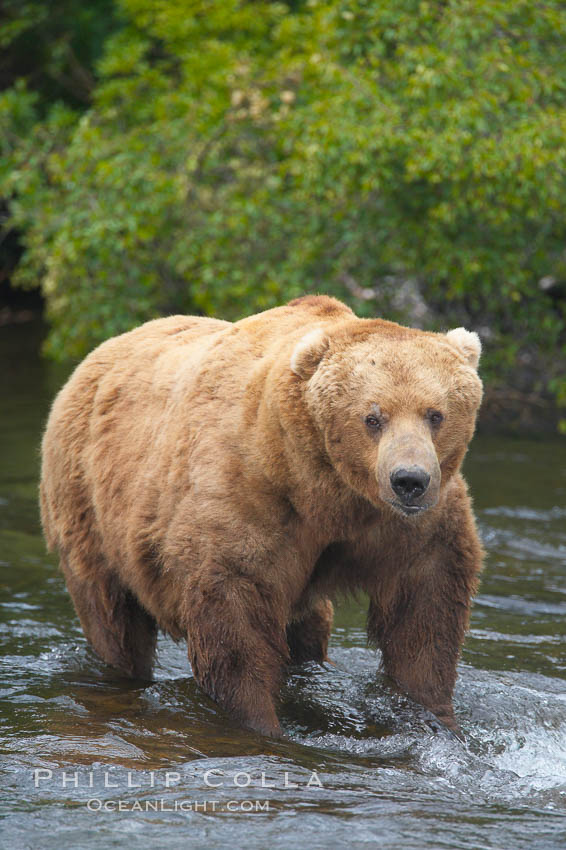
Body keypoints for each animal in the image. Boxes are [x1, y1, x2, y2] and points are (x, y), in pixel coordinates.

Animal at [40, 296, 484, 736]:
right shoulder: (252, 499)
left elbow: (423, 616)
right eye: (372, 417)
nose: (410, 480)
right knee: (112, 616)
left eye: (435, 414)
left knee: (309, 626)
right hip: (87, 505)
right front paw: (262, 722)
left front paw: (435, 715)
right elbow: (235, 623)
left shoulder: (411, 528)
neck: (327, 492)